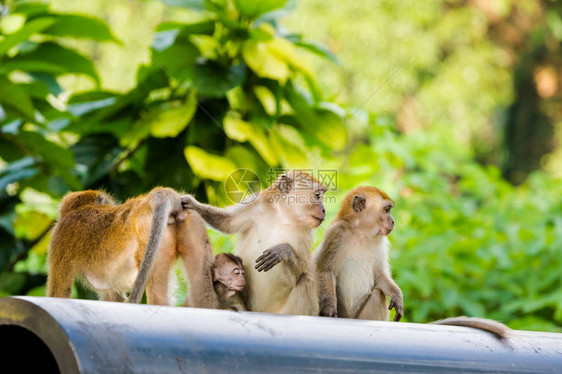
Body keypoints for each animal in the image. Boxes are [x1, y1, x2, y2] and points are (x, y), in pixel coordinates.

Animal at [46, 187, 218, 306]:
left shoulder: (58, 239)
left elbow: (59, 291)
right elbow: (114, 296)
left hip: (148, 234)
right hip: (190, 219)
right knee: (201, 284)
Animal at [182, 172, 326, 316]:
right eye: (317, 196)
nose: (324, 209)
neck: (283, 215)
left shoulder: (305, 232)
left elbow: (301, 268)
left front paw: (282, 251)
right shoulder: (255, 203)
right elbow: (226, 222)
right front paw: (193, 204)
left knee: (305, 279)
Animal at [312, 187, 400, 322]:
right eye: (387, 210)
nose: (393, 221)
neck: (361, 233)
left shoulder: (381, 241)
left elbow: (380, 275)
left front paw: (397, 296)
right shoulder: (337, 233)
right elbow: (325, 270)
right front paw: (329, 307)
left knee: (377, 294)